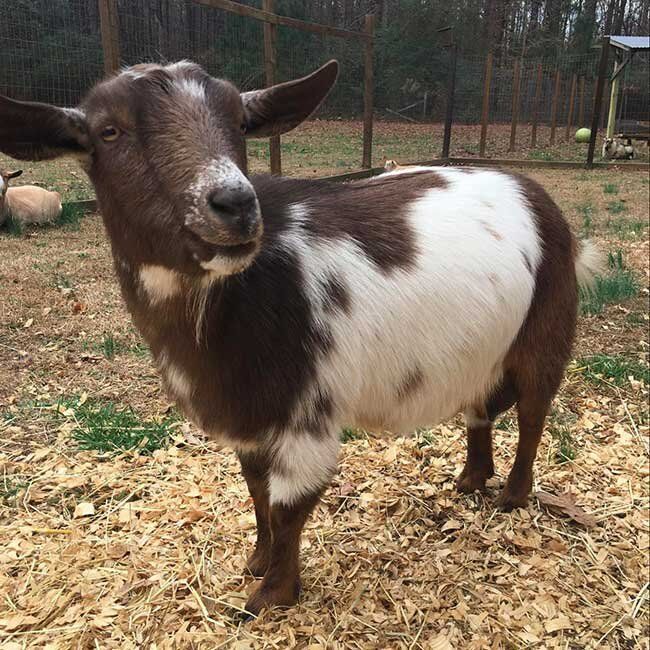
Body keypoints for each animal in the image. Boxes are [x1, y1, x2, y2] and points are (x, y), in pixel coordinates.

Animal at [0, 60, 603, 616]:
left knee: (532, 413)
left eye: (241, 123)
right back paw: (471, 480)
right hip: (481, 350)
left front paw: (271, 596)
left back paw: (512, 496)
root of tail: (530, 189)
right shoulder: (250, 418)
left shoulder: (305, 415)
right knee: (481, 408)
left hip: (547, 328)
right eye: (109, 131)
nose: (235, 204)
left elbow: (289, 506)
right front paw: (256, 562)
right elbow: (256, 491)